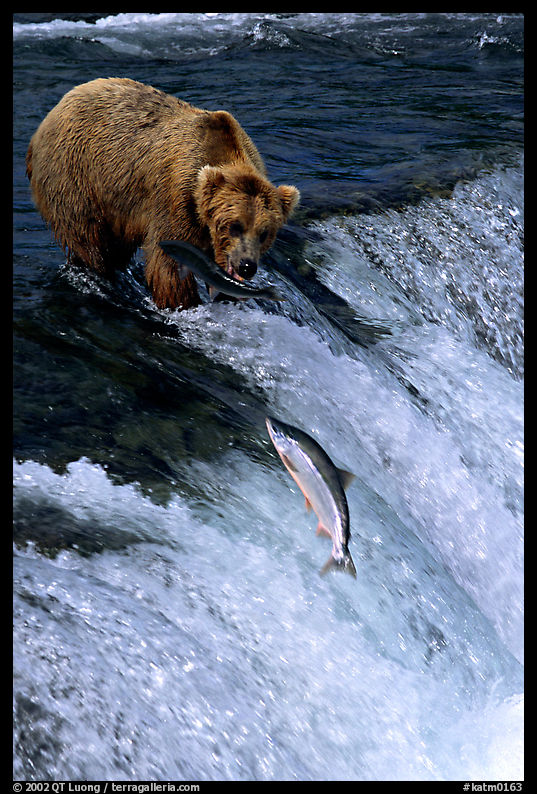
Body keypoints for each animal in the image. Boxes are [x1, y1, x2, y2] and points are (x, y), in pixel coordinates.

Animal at [26, 77, 300, 310]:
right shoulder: (176, 200)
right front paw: (184, 303)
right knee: (90, 239)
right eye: (235, 226)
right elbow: (167, 267)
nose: (246, 266)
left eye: (265, 232)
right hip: (76, 177)